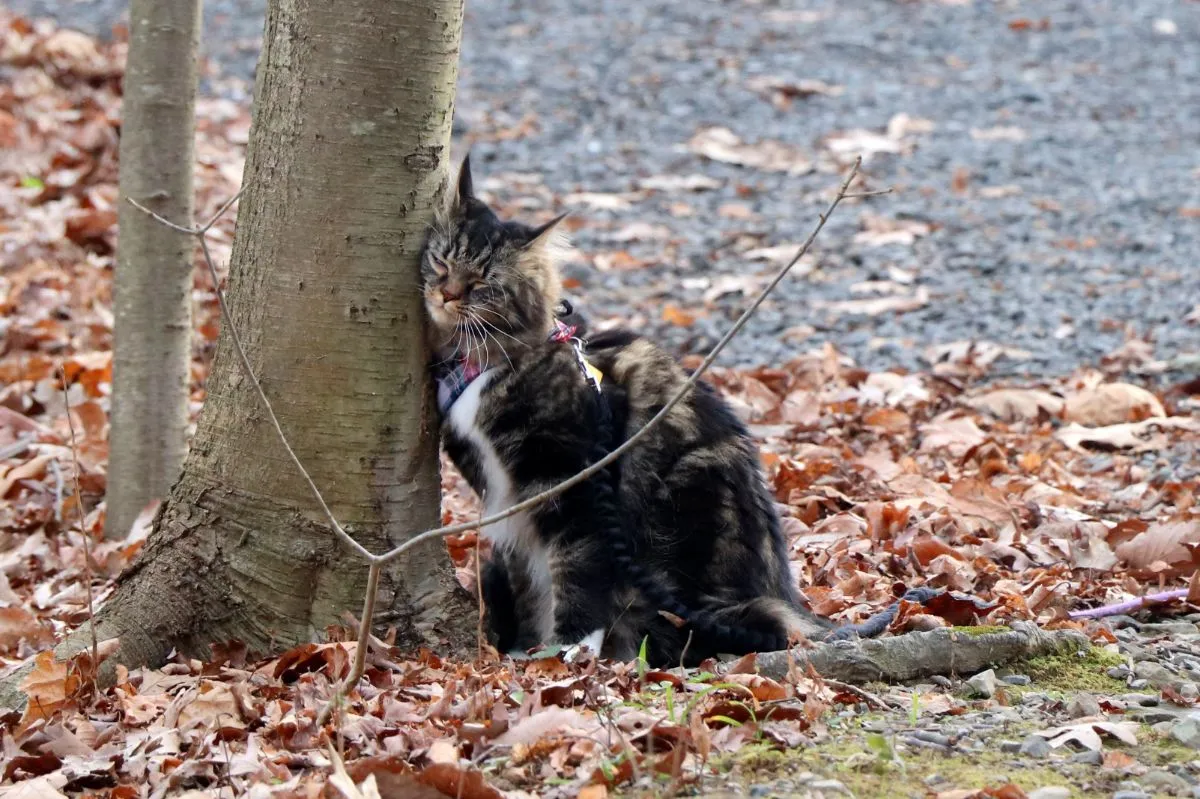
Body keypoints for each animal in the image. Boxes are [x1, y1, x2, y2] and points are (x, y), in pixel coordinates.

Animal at [427, 158, 830, 662]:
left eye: (483, 283)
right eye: (441, 262)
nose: (447, 295)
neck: (485, 363)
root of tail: (781, 595)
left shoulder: (570, 481)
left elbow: (575, 573)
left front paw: (566, 651)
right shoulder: (511, 508)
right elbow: (530, 585)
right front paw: (526, 650)